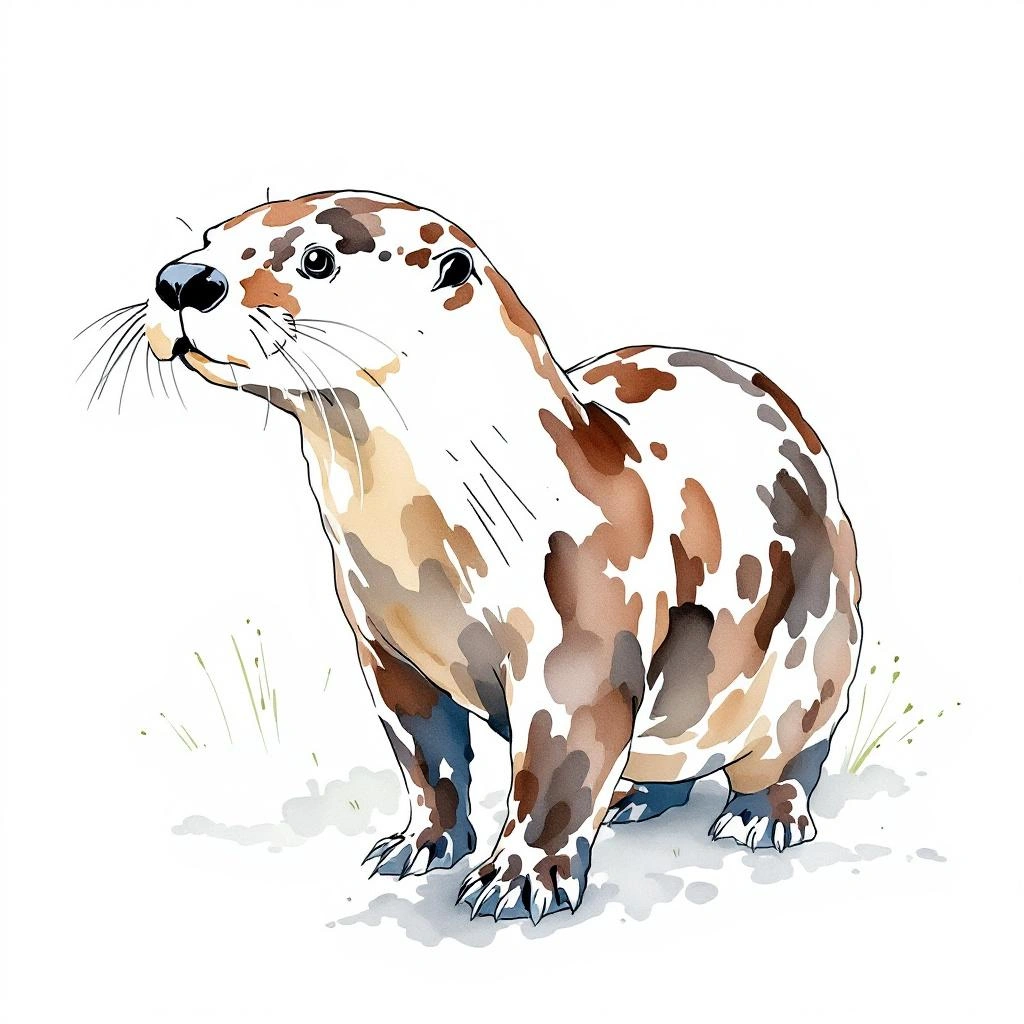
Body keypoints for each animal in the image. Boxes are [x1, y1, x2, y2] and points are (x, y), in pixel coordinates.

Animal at [91, 191, 861, 924]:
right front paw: (421, 843)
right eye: (211, 237)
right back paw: (636, 796)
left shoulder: (578, 644)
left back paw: (761, 815)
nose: (183, 280)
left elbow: (557, 775)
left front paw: (518, 877)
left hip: (819, 646)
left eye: (316, 258)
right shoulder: (383, 646)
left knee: (795, 748)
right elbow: (426, 759)